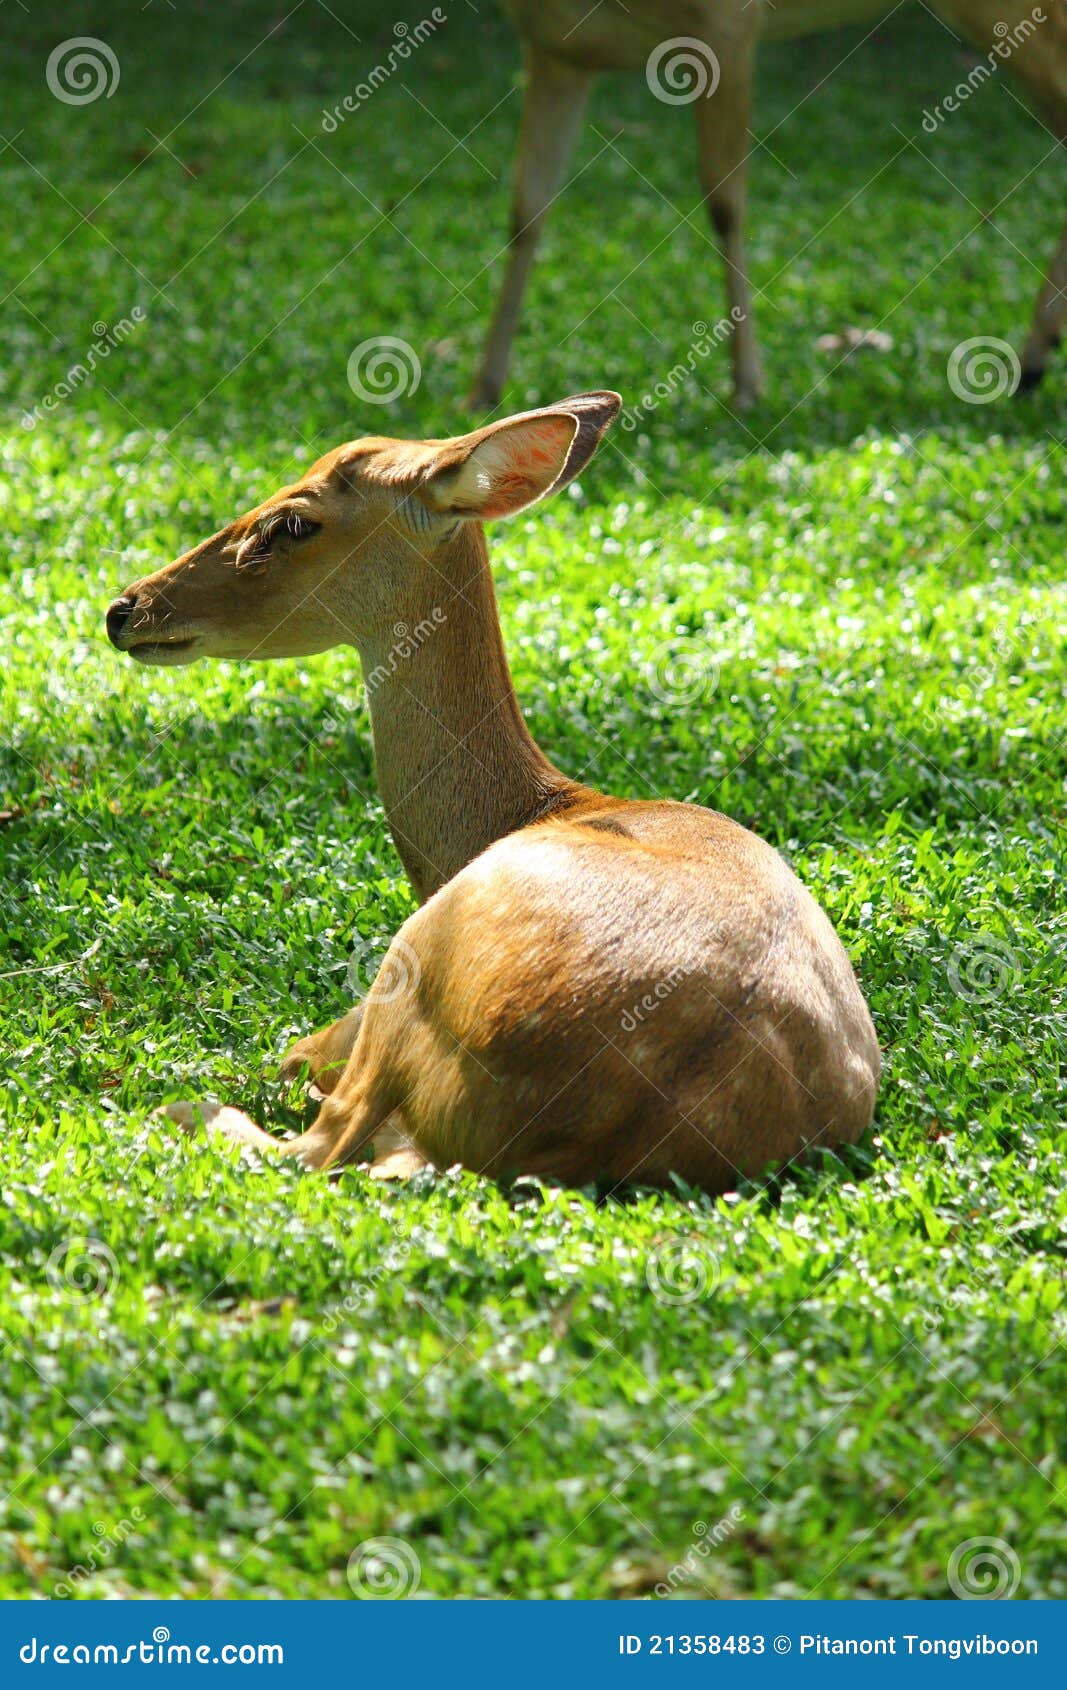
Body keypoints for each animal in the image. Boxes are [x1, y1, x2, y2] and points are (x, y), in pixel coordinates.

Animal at [105, 391, 880, 1192]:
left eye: (293, 522)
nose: (125, 609)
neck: (528, 809)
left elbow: (298, 1061)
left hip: (415, 962)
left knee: (318, 1138)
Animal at [470, 0, 1067, 410]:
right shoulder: (556, 50)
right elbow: (527, 209)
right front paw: (484, 391)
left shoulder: (728, 26)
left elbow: (724, 202)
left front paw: (747, 384)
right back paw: (1032, 364)